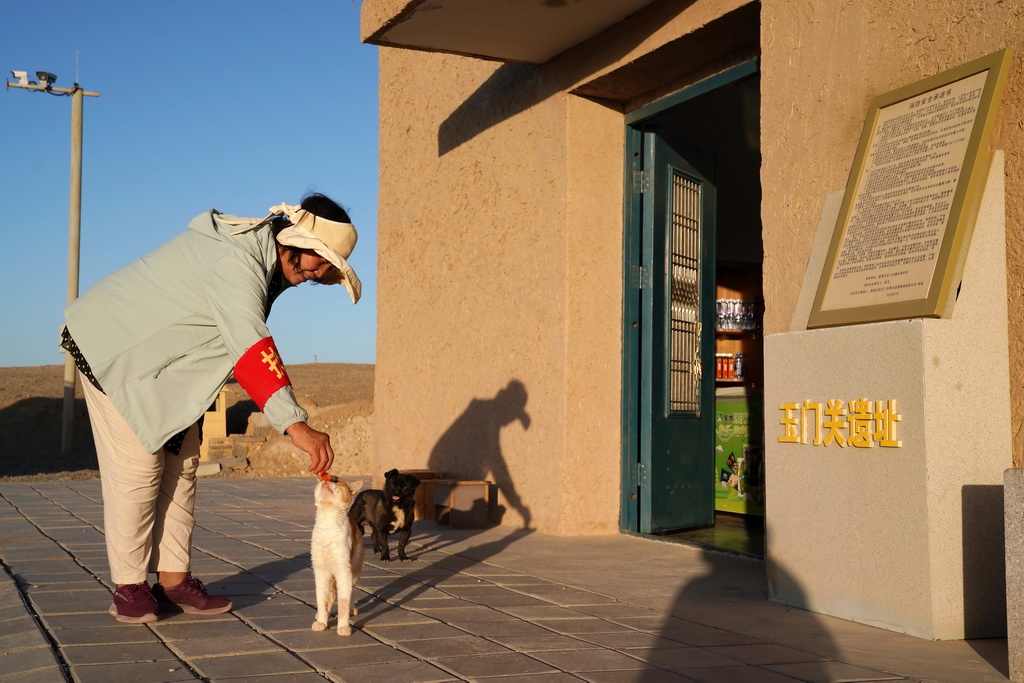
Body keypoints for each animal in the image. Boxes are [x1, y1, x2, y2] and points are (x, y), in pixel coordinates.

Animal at [309, 475, 366, 634]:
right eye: (327, 477)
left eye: (338, 481)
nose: (329, 479)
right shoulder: (320, 572)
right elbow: (322, 600)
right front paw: (322, 621)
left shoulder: (344, 571)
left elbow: (343, 603)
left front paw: (343, 626)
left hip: (354, 573)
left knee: (351, 593)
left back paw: (352, 610)